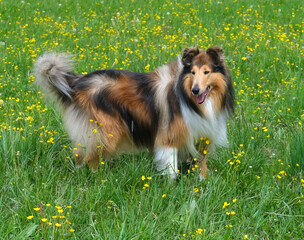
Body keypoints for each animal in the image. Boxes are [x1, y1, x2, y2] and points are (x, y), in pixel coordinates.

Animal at [36, 46, 235, 178]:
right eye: (192, 72)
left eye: (206, 72)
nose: (195, 90)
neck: (191, 101)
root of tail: (77, 82)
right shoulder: (168, 137)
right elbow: (170, 165)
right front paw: (171, 186)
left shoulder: (203, 133)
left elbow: (201, 161)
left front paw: (202, 180)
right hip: (105, 132)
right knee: (88, 157)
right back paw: (97, 179)